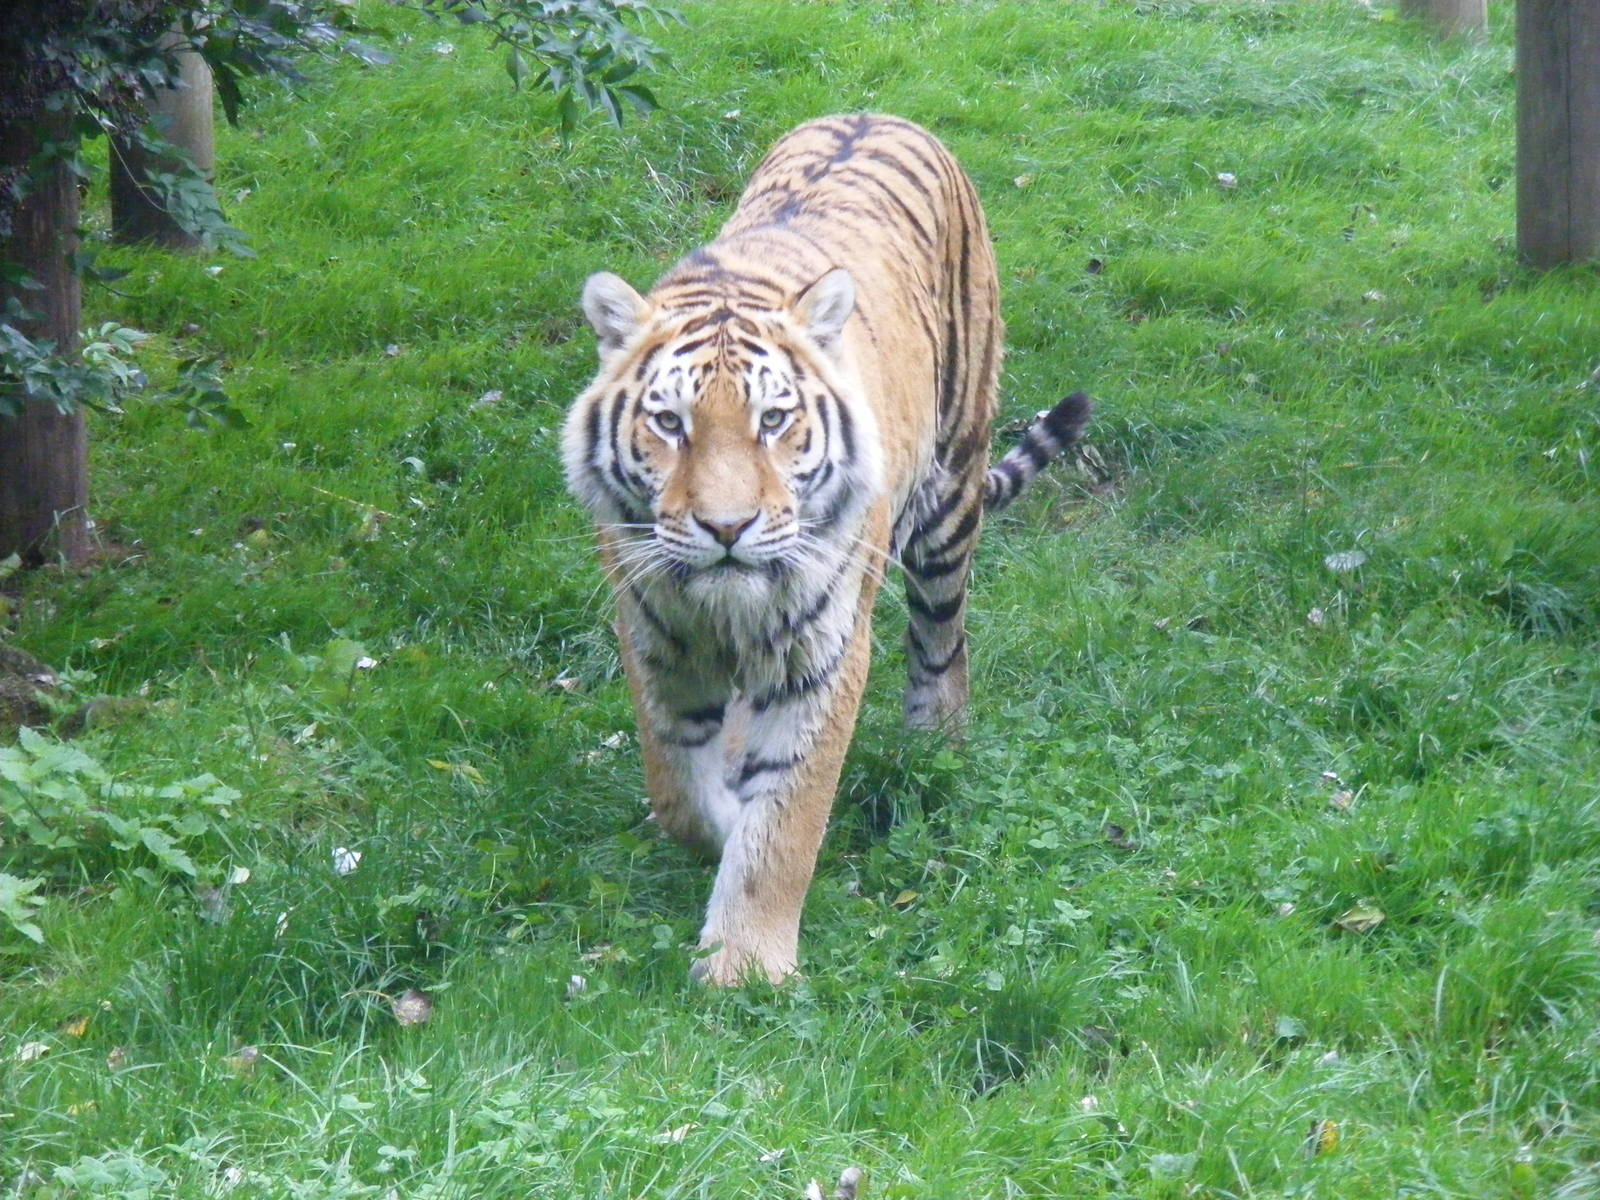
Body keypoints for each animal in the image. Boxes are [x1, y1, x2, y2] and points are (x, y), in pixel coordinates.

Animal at [562, 113, 1091, 986]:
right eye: (670, 424)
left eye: (773, 421)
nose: (727, 529)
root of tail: (880, 114)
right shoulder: (653, 634)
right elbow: (680, 792)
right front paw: (721, 826)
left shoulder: (824, 649)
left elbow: (784, 822)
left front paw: (746, 967)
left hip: (951, 495)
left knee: (944, 646)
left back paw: (934, 750)